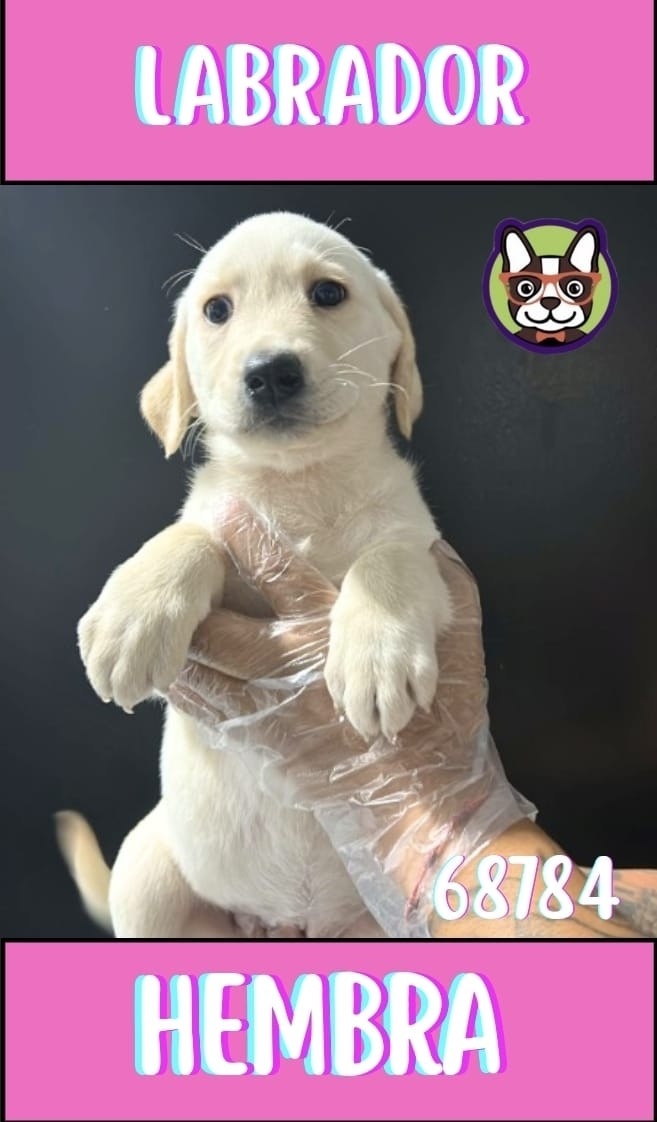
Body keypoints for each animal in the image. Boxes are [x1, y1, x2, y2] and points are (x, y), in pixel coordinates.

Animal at [56, 212, 452, 939]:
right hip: (148, 874)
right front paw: (132, 615)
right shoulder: (222, 524)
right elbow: (192, 534)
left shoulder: (427, 550)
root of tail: (285, 922)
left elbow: (386, 557)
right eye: (216, 310)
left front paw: (375, 655)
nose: (270, 372)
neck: (302, 485)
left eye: (328, 293)